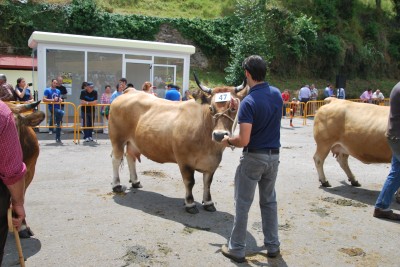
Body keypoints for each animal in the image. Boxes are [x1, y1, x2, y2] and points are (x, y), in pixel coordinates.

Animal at [109, 78, 247, 215]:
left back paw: (135, 181)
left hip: (132, 141)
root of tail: (130, 91)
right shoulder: (184, 161)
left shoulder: (212, 163)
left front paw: (208, 202)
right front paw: (190, 204)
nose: (219, 135)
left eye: (234, 108)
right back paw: (116, 185)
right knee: (116, 159)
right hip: (117, 139)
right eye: (211, 108)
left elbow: (207, 182)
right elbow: (190, 182)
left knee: (130, 157)